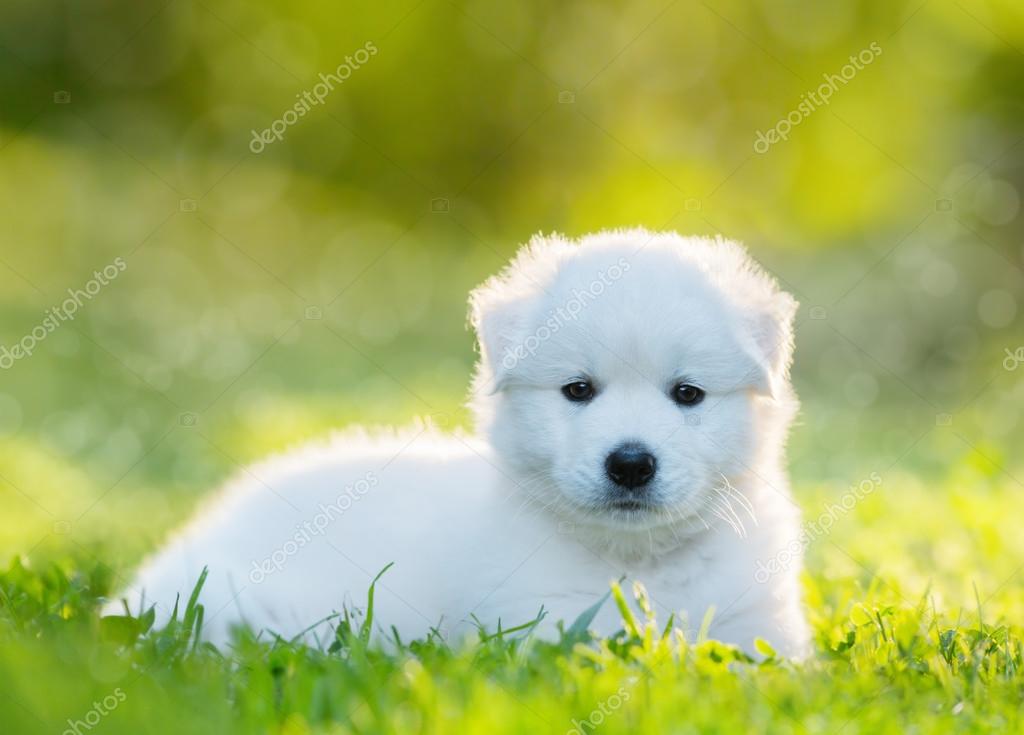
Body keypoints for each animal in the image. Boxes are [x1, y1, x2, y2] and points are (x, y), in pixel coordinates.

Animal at [112, 230, 811, 655]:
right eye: (578, 390)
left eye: (688, 394)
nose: (631, 464)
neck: (638, 561)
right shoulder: (539, 615)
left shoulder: (761, 617)